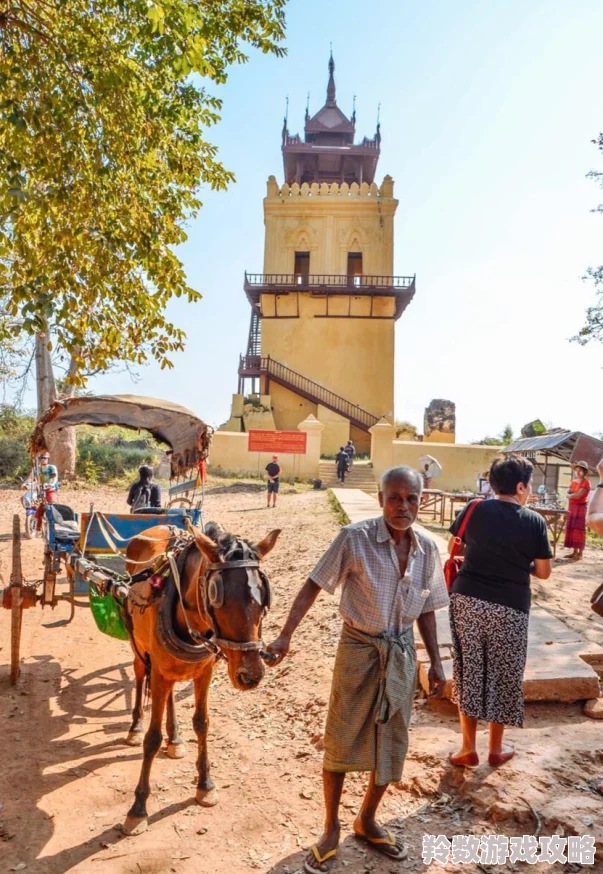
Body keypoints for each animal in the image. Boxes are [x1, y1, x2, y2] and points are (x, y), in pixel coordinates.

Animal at [123, 520, 284, 836]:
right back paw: (135, 726)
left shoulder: (205, 672)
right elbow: (152, 738)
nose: (251, 675)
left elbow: (202, 724)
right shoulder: (157, 670)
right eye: (215, 594)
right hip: (139, 646)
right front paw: (138, 807)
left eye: (264, 595)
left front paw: (205, 784)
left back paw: (175, 738)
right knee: (138, 674)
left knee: (171, 695)